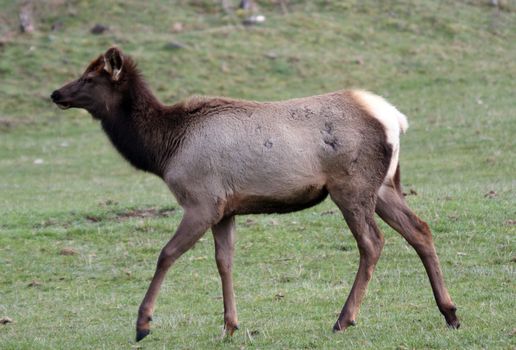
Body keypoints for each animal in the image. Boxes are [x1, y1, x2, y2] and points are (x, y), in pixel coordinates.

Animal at [50, 47, 458, 342]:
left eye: (89, 77)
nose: (56, 93)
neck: (164, 150)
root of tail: (395, 119)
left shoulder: (201, 201)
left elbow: (166, 254)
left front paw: (143, 323)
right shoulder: (226, 210)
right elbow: (224, 261)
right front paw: (230, 325)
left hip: (351, 186)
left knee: (373, 242)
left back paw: (344, 319)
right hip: (384, 186)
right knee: (420, 230)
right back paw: (450, 312)